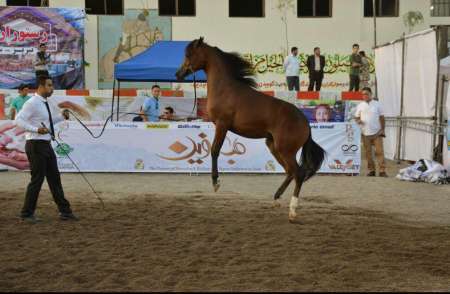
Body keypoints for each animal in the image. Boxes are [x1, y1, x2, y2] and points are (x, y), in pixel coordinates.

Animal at [175, 37, 324, 220]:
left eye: (189, 54)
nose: (178, 74)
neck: (225, 89)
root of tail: (305, 122)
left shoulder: (222, 125)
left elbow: (215, 150)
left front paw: (216, 182)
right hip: (273, 146)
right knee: (290, 172)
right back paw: (276, 198)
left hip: (285, 150)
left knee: (299, 173)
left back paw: (292, 210)